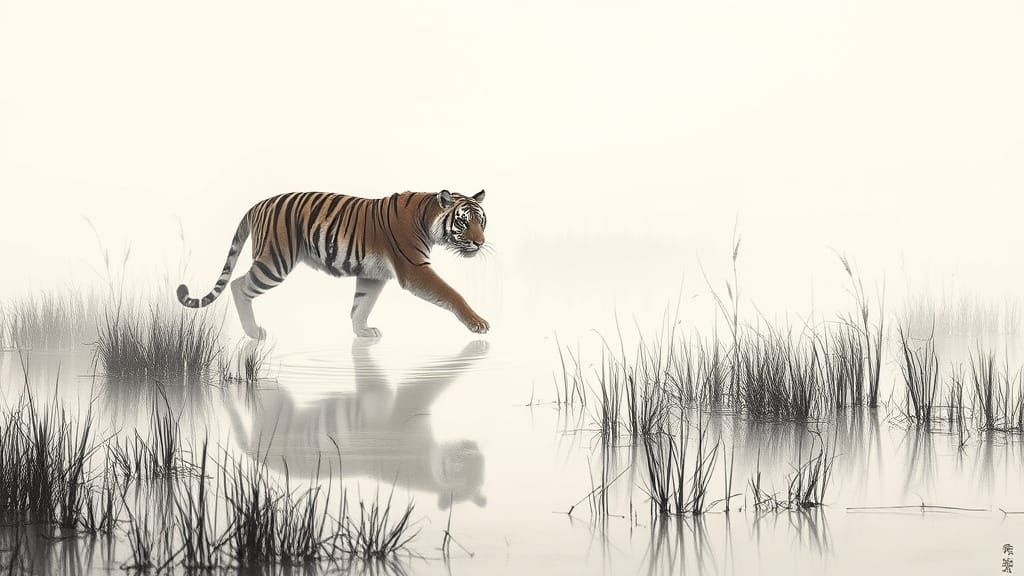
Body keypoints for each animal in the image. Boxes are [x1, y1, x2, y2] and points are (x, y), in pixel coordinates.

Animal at [176, 189, 489, 339]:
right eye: (463, 222)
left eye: (481, 221)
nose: (480, 243)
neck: (426, 217)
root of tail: (256, 206)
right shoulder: (415, 269)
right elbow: (451, 293)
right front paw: (479, 323)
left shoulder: (373, 274)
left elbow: (361, 305)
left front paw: (363, 332)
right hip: (274, 262)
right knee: (239, 285)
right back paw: (253, 332)